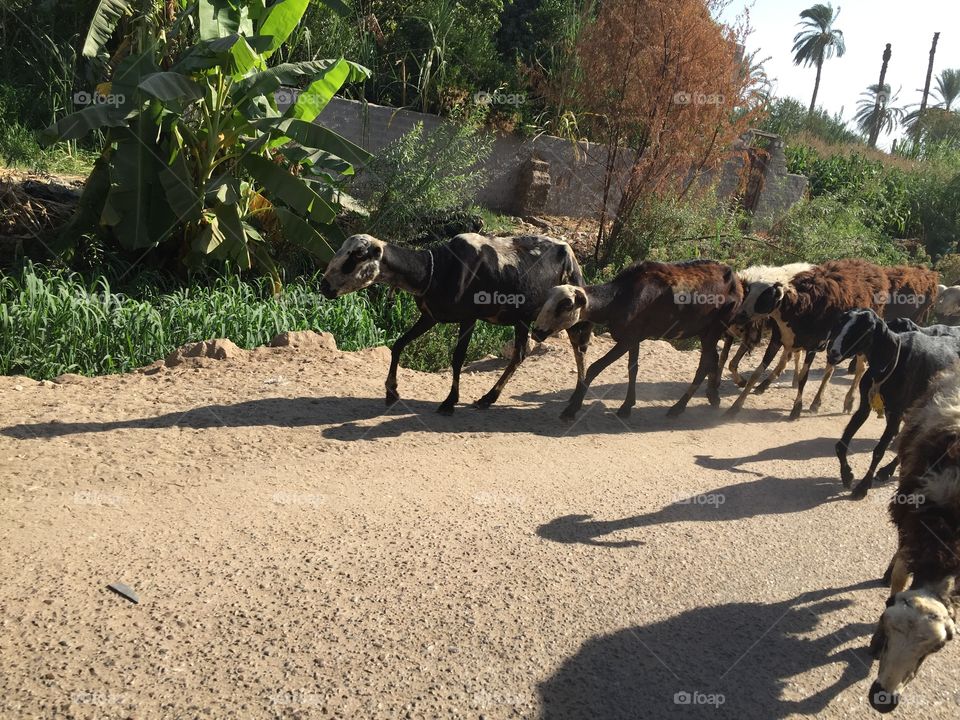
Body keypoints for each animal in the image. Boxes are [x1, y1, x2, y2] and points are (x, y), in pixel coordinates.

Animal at [320, 233, 592, 414]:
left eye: (355, 257)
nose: (323, 286)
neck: (435, 269)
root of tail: (568, 248)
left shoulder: (468, 317)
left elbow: (458, 357)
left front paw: (450, 401)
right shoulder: (430, 315)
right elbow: (398, 345)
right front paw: (391, 391)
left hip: (569, 311)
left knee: (580, 349)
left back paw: (575, 400)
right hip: (522, 318)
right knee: (520, 354)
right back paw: (488, 398)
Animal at [524, 258, 744, 420]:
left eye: (566, 306)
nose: (537, 332)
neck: (618, 299)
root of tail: (737, 281)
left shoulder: (627, 339)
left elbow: (595, 367)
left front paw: (572, 408)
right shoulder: (634, 338)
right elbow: (633, 369)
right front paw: (627, 406)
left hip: (716, 327)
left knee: (704, 364)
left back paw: (678, 407)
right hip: (706, 331)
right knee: (713, 359)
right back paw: (713, 396)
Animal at [724, 258, 888, 420]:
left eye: (766, 296)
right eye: (748, 291)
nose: (739, 316)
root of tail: (872, 267)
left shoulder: (813, 346)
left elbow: (804, 377)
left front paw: (796, 409)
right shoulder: (777, 339)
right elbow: (755, 372)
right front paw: (735, 406)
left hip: (858, 341)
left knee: (860, 368)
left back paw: (848, 401)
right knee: (828, 367)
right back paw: (814, 401)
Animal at [820, 310, 960, 500]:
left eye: (865, 329)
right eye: (840, 323)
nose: (832, 353)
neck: (893, 362)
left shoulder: (896, 414)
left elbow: (879, 450)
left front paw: (862, 487)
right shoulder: (865, 406)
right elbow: (841, 445)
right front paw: (847, 475)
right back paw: (887, 471)